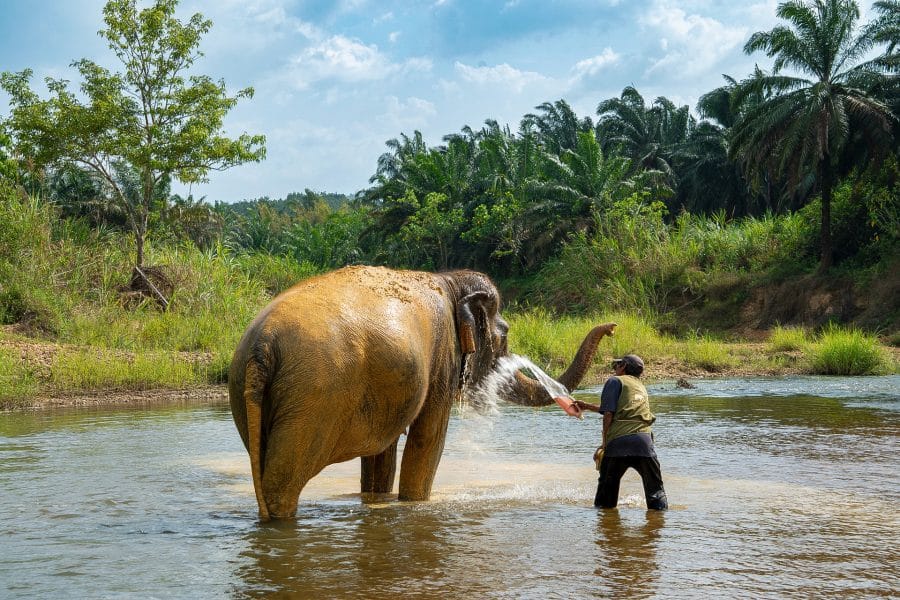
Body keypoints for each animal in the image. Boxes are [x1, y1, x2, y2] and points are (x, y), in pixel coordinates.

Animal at [229, 265, 616, 520]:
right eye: (504, 334)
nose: (611, 327)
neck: (450, 279)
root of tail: (263, 345)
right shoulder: (442, 356)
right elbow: (428, 439)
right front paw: (415, 505)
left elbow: (382, 454)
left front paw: (378, 500)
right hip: (313, 399)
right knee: (283, 482)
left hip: (254, 396)